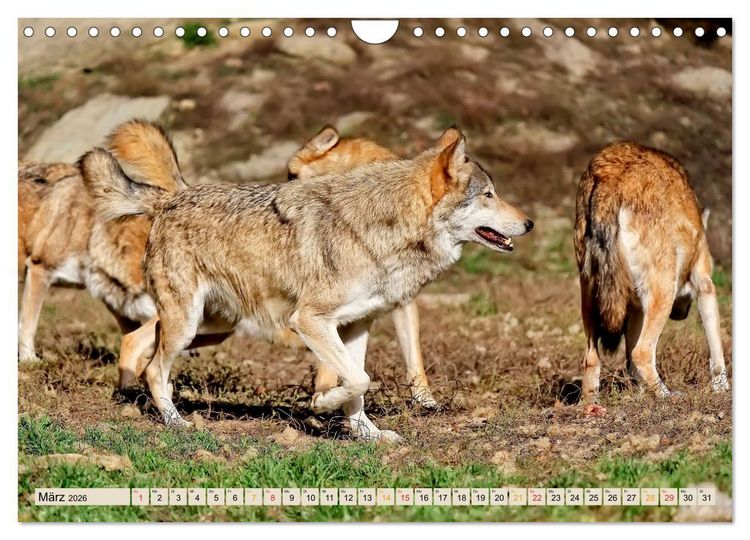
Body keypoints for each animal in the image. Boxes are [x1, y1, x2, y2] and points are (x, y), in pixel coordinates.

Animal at [81, 127, 534, 441]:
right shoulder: (310, 322)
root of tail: (170, 198)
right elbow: (357, 380)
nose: (530, 223)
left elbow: (358, 384)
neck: (385, 229)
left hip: (213, 326)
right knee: (156, 368)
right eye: (490, 195)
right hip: (190, 325)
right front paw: (320, 405)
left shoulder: (357, 326)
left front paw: (367, 435)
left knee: (143, 345)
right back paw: (175, 422)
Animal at [574, 141, 729, 401]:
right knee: (642, 353)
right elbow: (717, 353)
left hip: (590, 296)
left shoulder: (636, 309)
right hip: (663, 293)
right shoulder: (705, 285)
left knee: (591, 360)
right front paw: (723, 388)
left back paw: (591, 405)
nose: (681, 315)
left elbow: (629, 365)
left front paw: (638, 395)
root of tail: (609, 176)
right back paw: (669, 396)